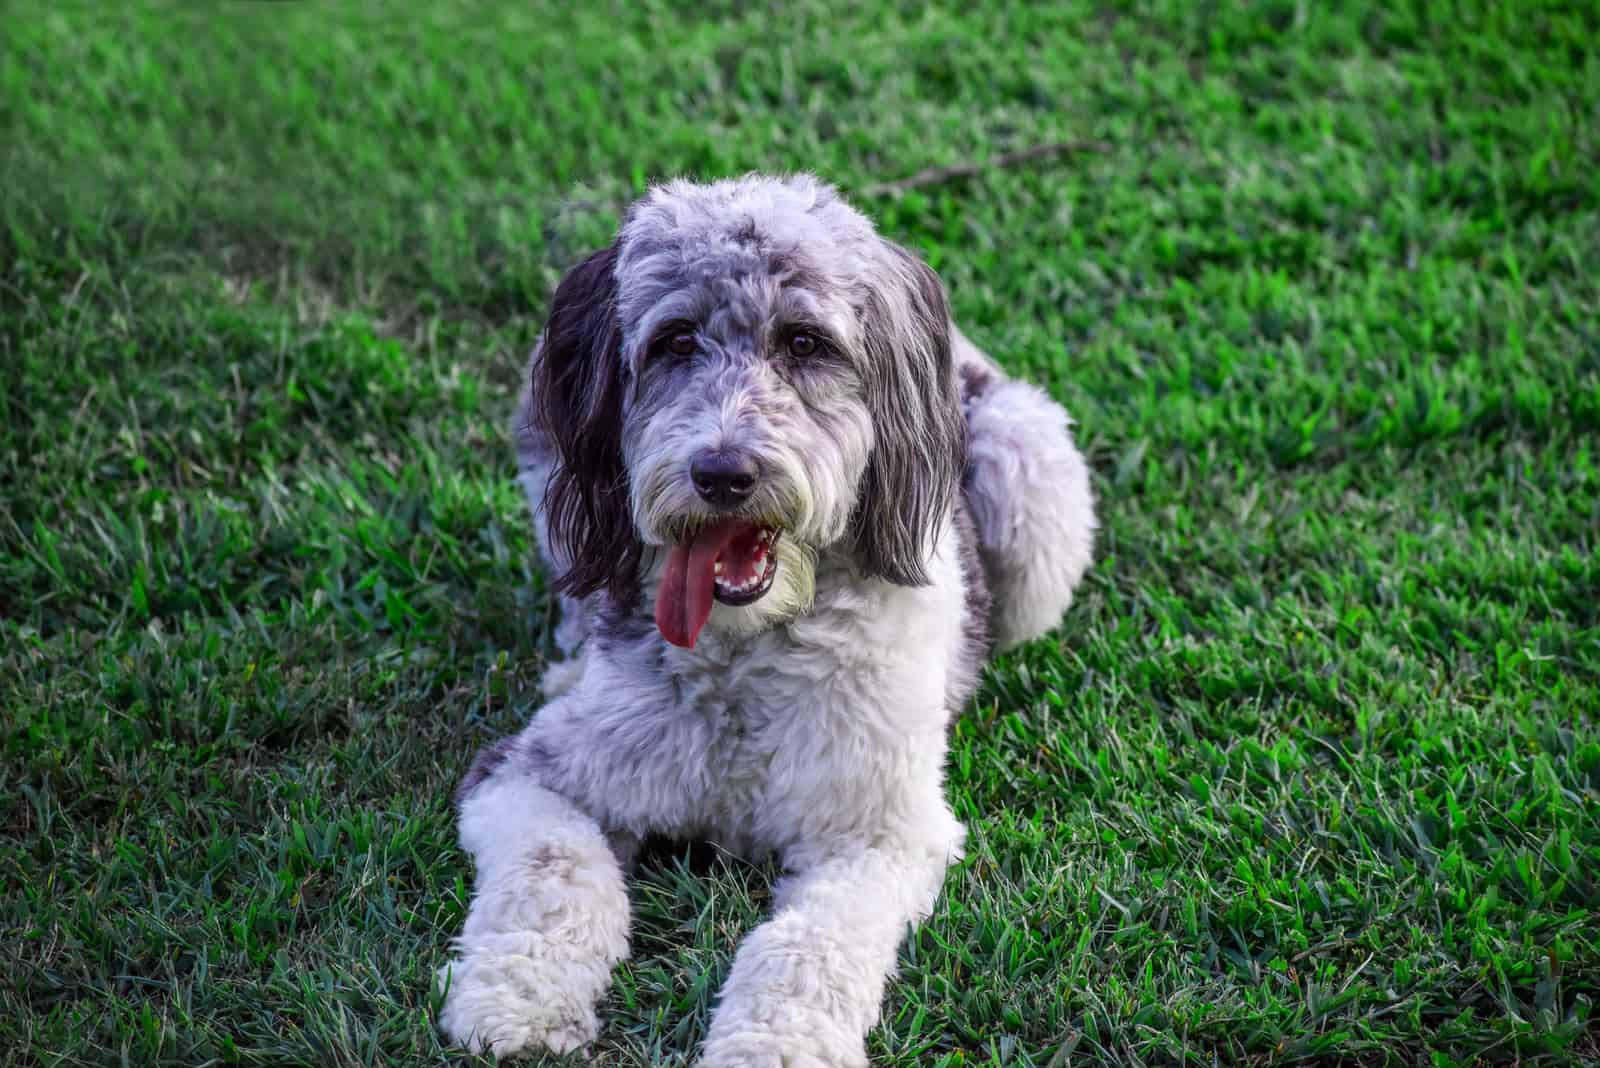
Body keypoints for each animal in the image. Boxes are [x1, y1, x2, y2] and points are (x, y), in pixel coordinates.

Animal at [432, 171, 1094, 1061]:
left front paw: (772, 1046)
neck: (744, 664)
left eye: (806, 343)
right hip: (551, 477)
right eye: (674, 341)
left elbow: (807, 944)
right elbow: (555, 868)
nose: (722, 473)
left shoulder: (879, 832)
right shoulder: (527, 772)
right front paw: (518, 1001)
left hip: (1034, 474)